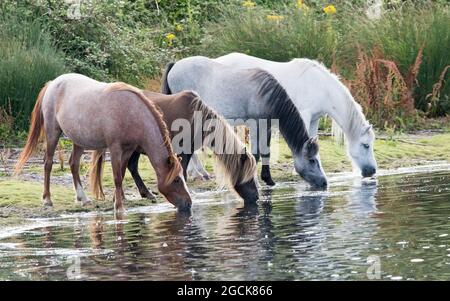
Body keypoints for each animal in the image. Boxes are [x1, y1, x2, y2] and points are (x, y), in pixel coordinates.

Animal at [14, 73, 191, 211]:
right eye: (176, 180)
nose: (188, 203)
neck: (132, 111)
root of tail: (53, 83)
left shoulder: (128, 150)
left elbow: (121, 173)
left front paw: (116, 199)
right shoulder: (115, 148)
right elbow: (117, 177)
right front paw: (118, 207)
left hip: (78, 140)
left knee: (73, 164)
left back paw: (83, 198)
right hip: (53, 132)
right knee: (48, 163)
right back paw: (47, 199)